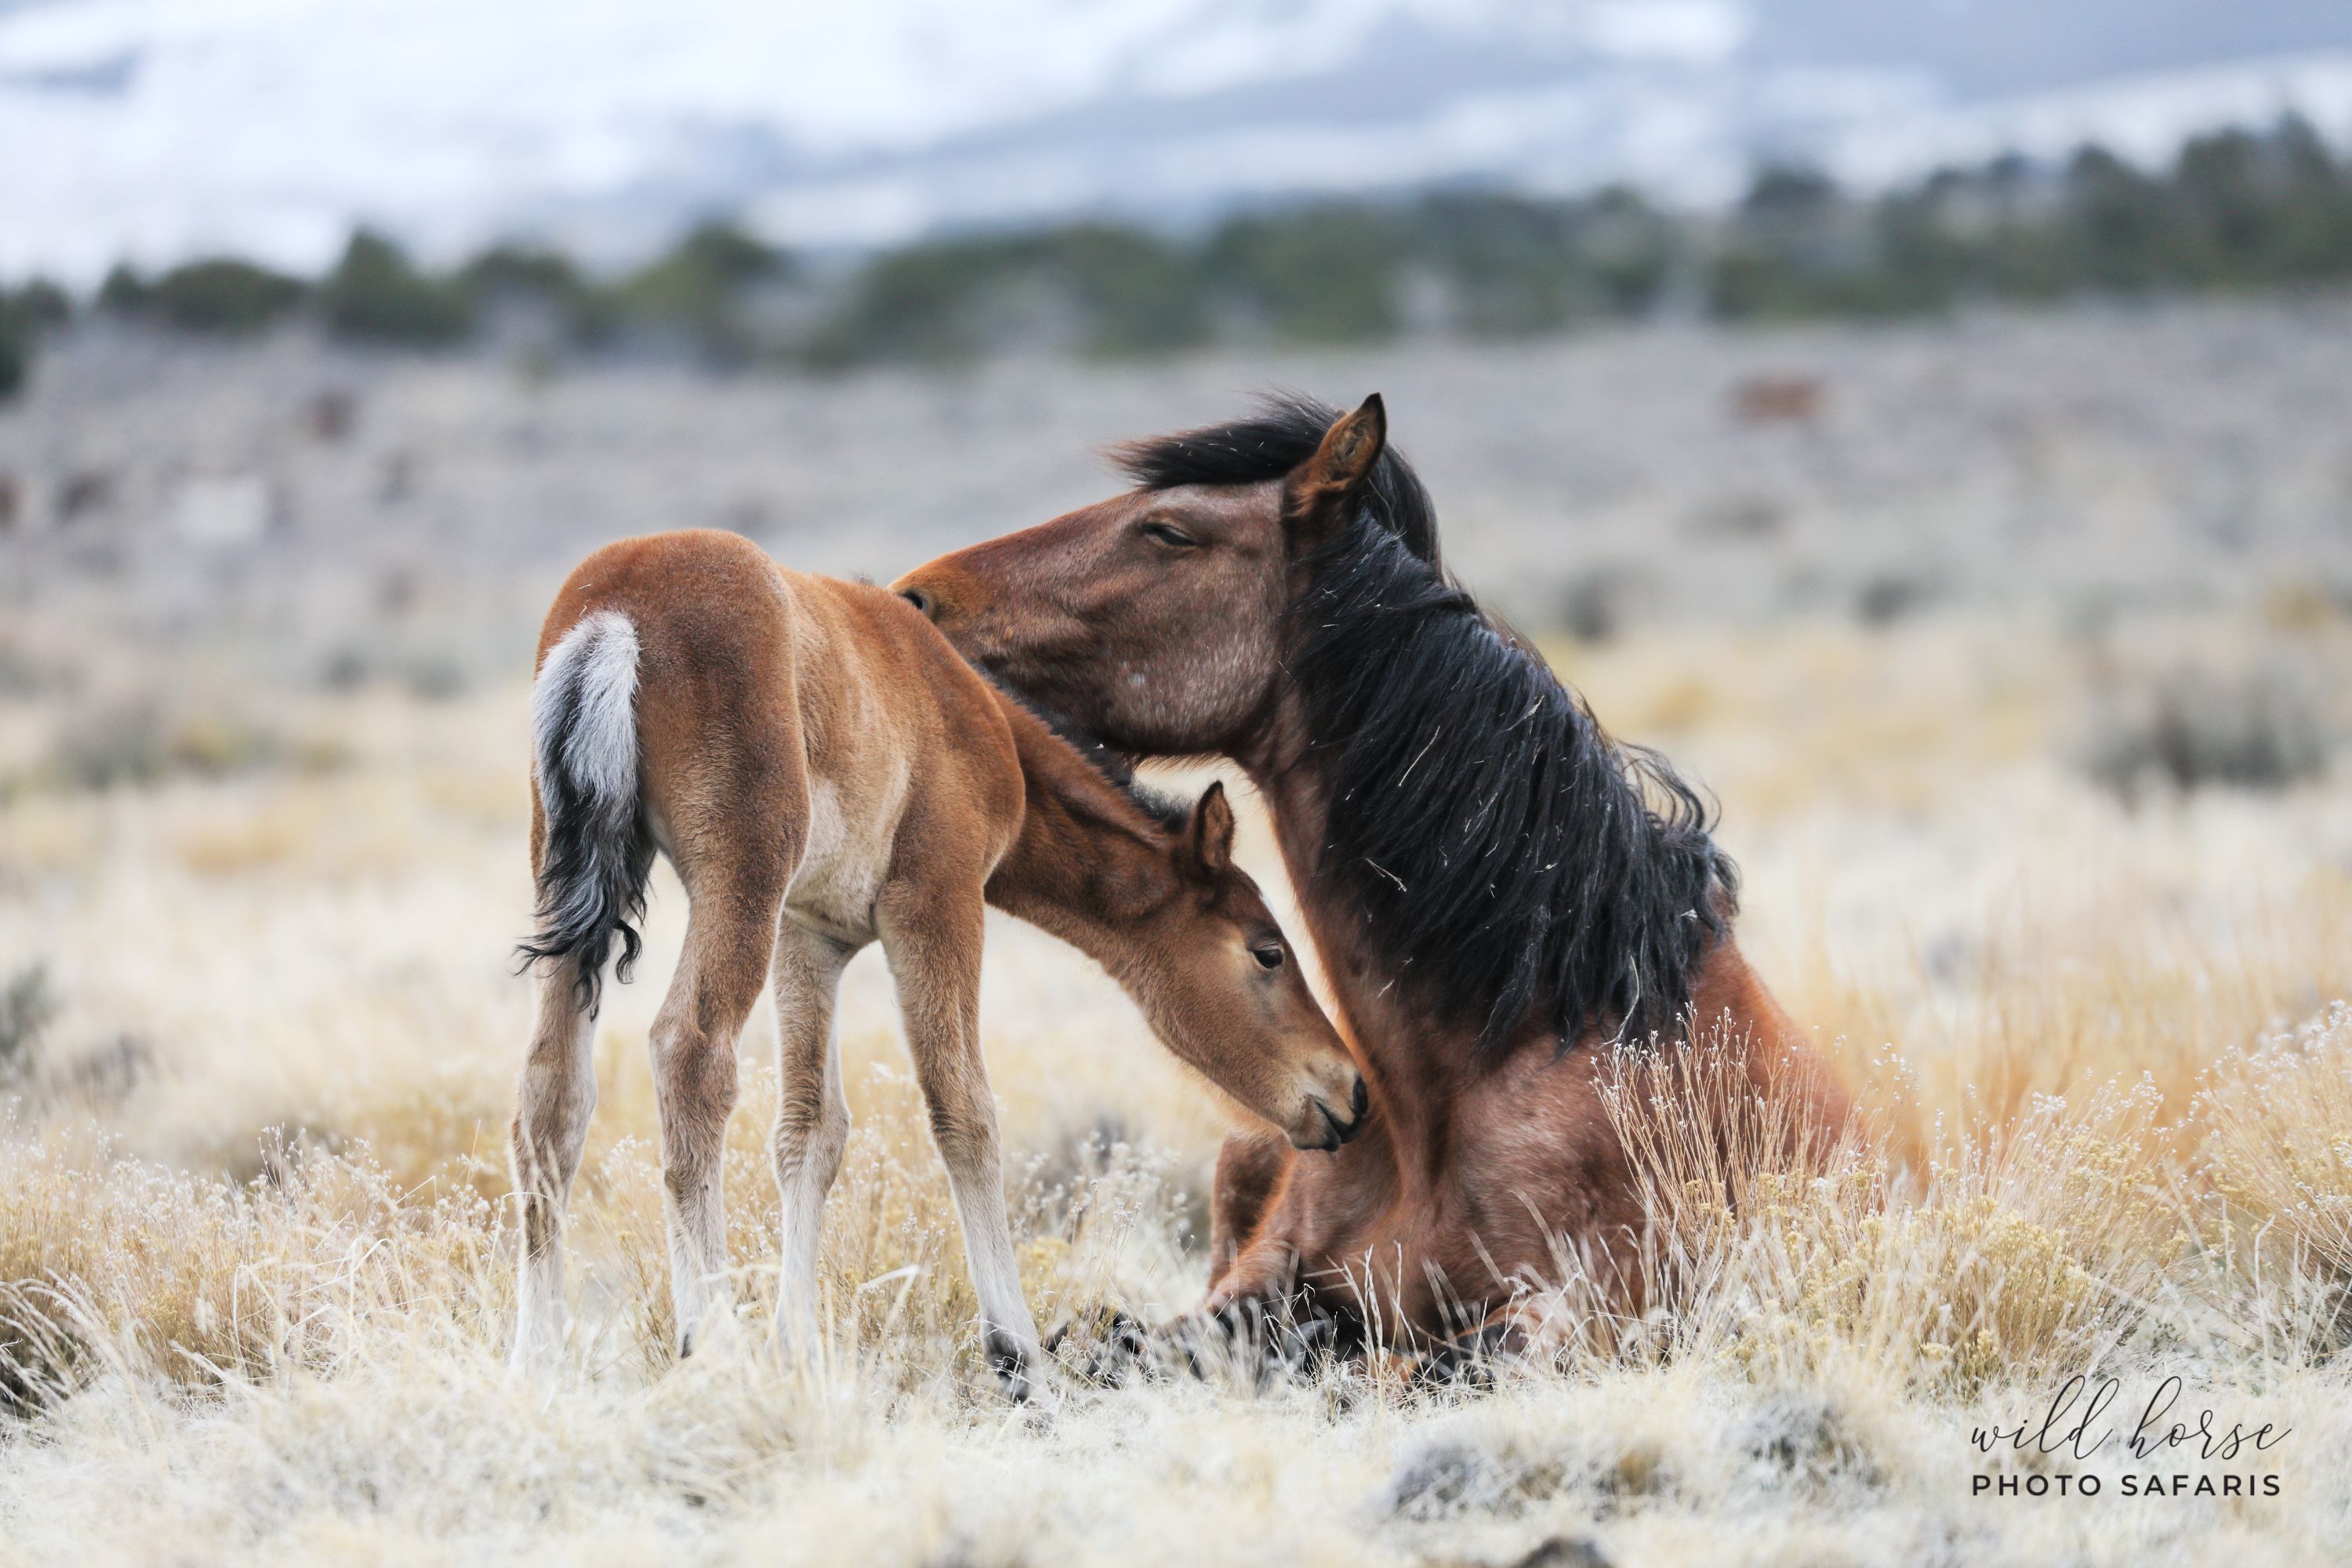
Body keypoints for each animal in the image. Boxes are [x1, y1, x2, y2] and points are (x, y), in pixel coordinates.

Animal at [513, 531, 1364, 1401]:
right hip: (739, 876)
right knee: (690, 1052)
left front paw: (799, 1348)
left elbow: (811, 1132)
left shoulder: (808, 935)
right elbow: (966, 1108)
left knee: (552, 1087)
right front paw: (1017, 1352)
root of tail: (617, 611)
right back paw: (709, 1341)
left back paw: (539, 1357)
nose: (1349, 1090)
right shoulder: (937, 900)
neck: (969, 710)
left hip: (573, 880)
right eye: (1267, 951)